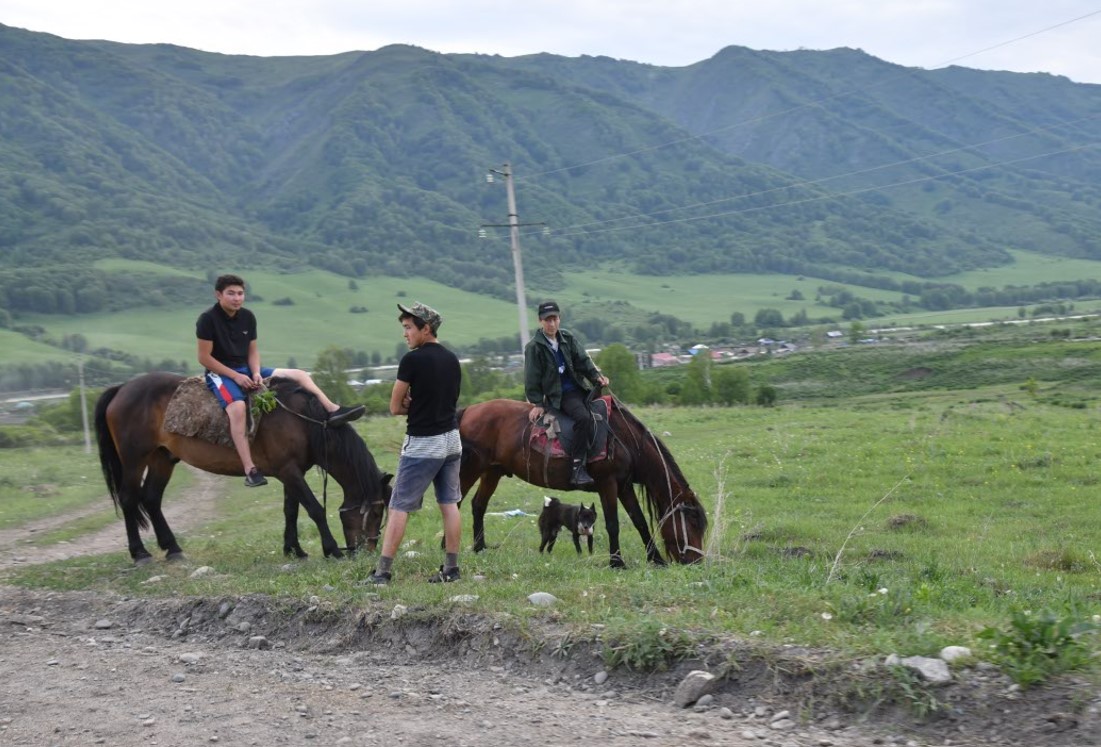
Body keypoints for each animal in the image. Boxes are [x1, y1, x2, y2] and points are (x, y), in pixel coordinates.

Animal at [93, 372, 391, 564]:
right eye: (376, 513)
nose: (368, 551)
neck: (305, 422)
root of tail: (121, 388)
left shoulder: (291, 473)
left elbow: (291, 511)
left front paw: (294, 549)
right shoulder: (289, 471)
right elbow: (315, 509)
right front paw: (332, 550)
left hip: (162, 458)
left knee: (152, 499)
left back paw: (173, 549)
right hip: (134, 460)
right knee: (129, 499)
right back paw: (140, 553)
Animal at [455, 398, 704, 568]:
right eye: (692, 524)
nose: (696, 561)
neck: (625, 440)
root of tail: (469, 410)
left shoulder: (624, 487)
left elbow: (639, 521)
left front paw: (656, 559)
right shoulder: (607, 484)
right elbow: (613, 524)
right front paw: (617, 562)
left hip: (492, 471)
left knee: (478, 505)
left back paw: (480, 548)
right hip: (471, 469)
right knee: (456, 504)